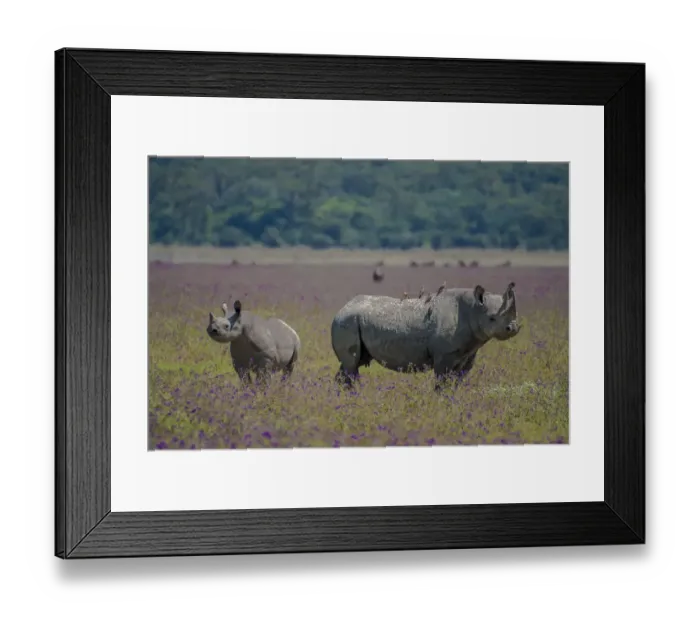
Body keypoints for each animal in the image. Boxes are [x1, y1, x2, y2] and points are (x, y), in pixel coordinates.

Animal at [330, 282, 520, 390]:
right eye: (492, 318)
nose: (513, 328)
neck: (474, 309)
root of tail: (341, 309)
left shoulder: (468, 354)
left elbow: (456, 382)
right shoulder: (445, 355)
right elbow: (442, 383)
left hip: (351, 321)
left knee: (353, 364)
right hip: (346, 321)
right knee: (351, 364)